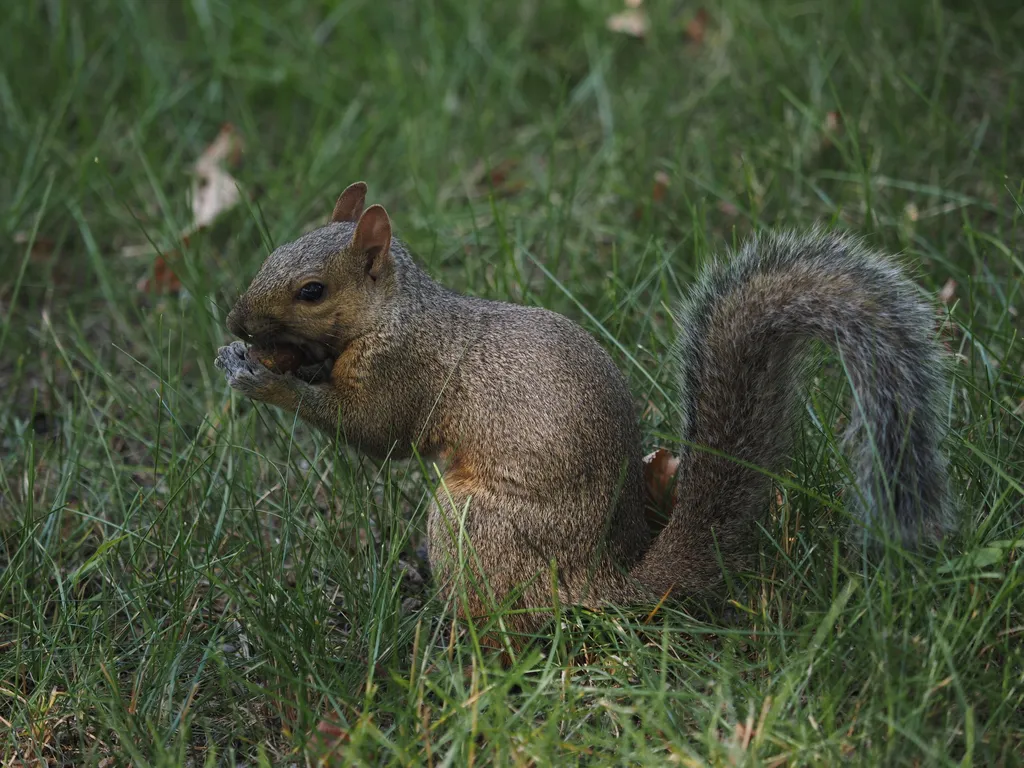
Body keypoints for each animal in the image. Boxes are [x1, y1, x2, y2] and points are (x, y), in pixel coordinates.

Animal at [214, 183, 950, 651]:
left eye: (312, 291)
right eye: (271, 253)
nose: (236, 321)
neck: (398, 310)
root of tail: (595, 583)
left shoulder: (403, 370)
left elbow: (372, 431)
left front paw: (260, 377)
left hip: (472, 522)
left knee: (505, 620)